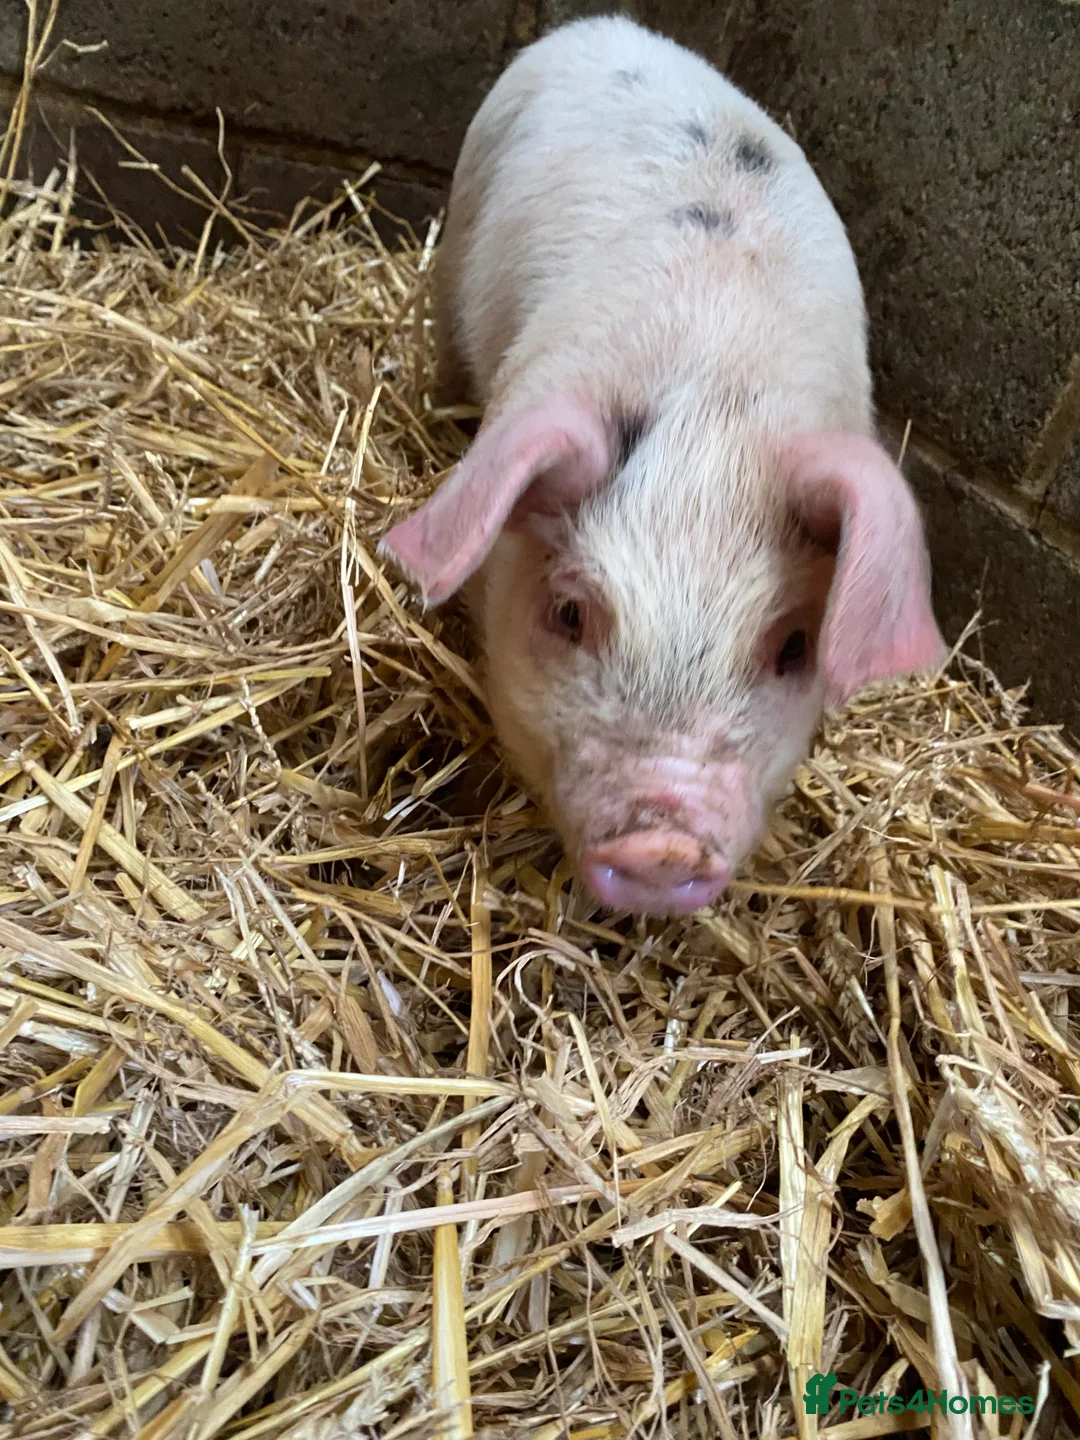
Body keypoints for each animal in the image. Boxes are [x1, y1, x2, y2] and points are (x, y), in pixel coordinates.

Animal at [378, 15, 944, 917]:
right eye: (569, 613)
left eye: (793, 646)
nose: (662, 845)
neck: (712, 394)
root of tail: (608, 26)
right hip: (459, 223)